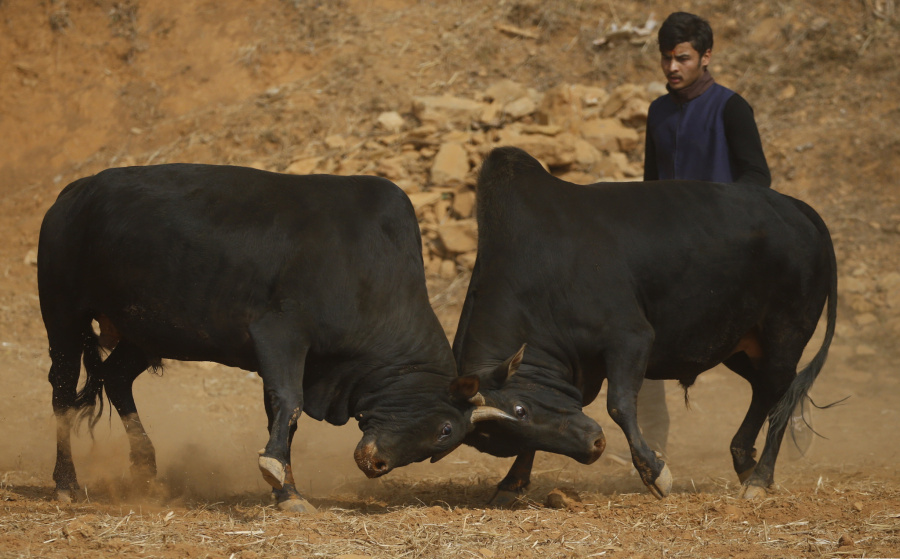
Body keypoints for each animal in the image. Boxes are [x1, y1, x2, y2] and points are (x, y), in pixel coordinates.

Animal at [37, 165, 512, 512]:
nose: (376, 464)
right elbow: (289, 403)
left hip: (144, 334)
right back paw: (66, 483)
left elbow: (279, 414)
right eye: (446, 429)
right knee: (61, 392)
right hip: (63, 317)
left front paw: (286, 489)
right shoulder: (280, 336)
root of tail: (73, 193)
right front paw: (280, 478)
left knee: (116, 378)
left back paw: (144, 471)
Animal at [454, 147, 840, 506]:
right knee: (765, 390)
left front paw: (655, 473)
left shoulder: (631, 339)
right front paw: (510, 484)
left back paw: (760, 478)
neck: (542, 272)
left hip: (785, 335)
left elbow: (619, 404)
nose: (594, 446)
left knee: (781, 393)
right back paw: (745, 460)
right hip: (742, 346)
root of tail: (794, 206)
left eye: (520, 410)